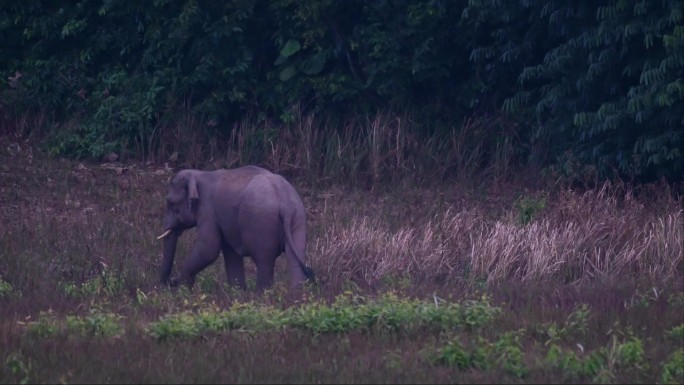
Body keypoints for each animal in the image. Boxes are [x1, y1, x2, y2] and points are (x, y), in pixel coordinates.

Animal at [156, 164, 314, 290]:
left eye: (170, 203)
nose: (171, 281)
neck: (199, 173)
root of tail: (284, 199)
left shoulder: (208, 211)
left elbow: (208, 249)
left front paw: (181, 285)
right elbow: (230, 252)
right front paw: (237, 292)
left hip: (261, 222)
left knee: (264, 261)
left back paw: (262, 296)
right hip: (298, 218)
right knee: (295, 257)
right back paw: (296, 296)